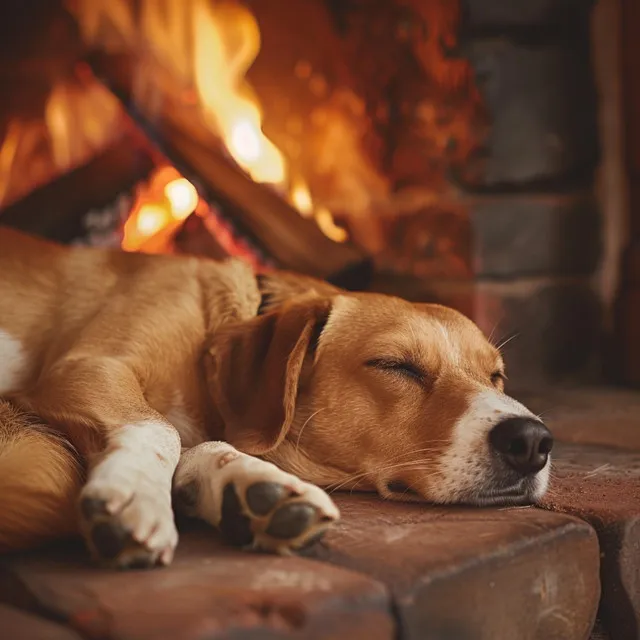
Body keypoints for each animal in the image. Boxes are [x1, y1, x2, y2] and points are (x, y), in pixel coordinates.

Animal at [0, 228, 552, 568]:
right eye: (396, 366)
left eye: (497, 376)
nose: (531, 441)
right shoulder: (86, 368)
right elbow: (159, 427)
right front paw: (134, 493)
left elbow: (198, 443)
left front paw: (249, 486)